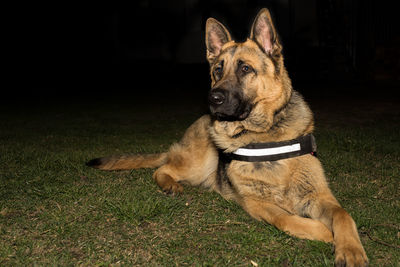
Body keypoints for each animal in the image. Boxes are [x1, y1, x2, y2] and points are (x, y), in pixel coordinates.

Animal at [87, 8, 368, 267]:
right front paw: (324, 232)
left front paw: (351, 250)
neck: (265, 135)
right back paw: (169, 184)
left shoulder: (319, 195)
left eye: (245, 68)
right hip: (198, 165)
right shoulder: (255, 202)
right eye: (217, 70)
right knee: (162, 169)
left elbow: (343, 214)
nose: (213, 98)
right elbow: (285, 218)